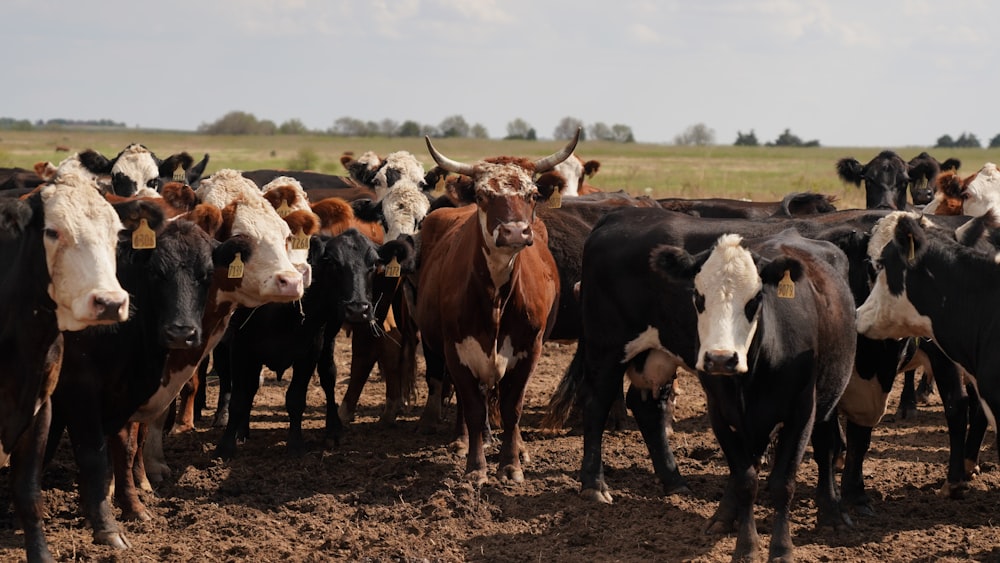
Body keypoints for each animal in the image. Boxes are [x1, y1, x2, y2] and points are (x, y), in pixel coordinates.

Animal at [410, 132, 580, 484]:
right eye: (483, 195)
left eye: (531, 194)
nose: (515, 231)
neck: (497, 298)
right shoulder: (457, 350)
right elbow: (473, 408)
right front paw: (476, 466)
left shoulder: (529, 351)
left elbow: (513, 408)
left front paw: (512, 463)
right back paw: (462, 442)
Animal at [652, 230, 856, 563]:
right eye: (698, 297)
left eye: (756, 299)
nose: (720, 359)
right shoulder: (719, 413)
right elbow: (745, 479)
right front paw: (746, 545)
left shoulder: (802, 412)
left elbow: (783, 483)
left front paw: (782, 548)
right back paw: (723, 517)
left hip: (829, 400)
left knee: (826, 450)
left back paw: (832, 514)